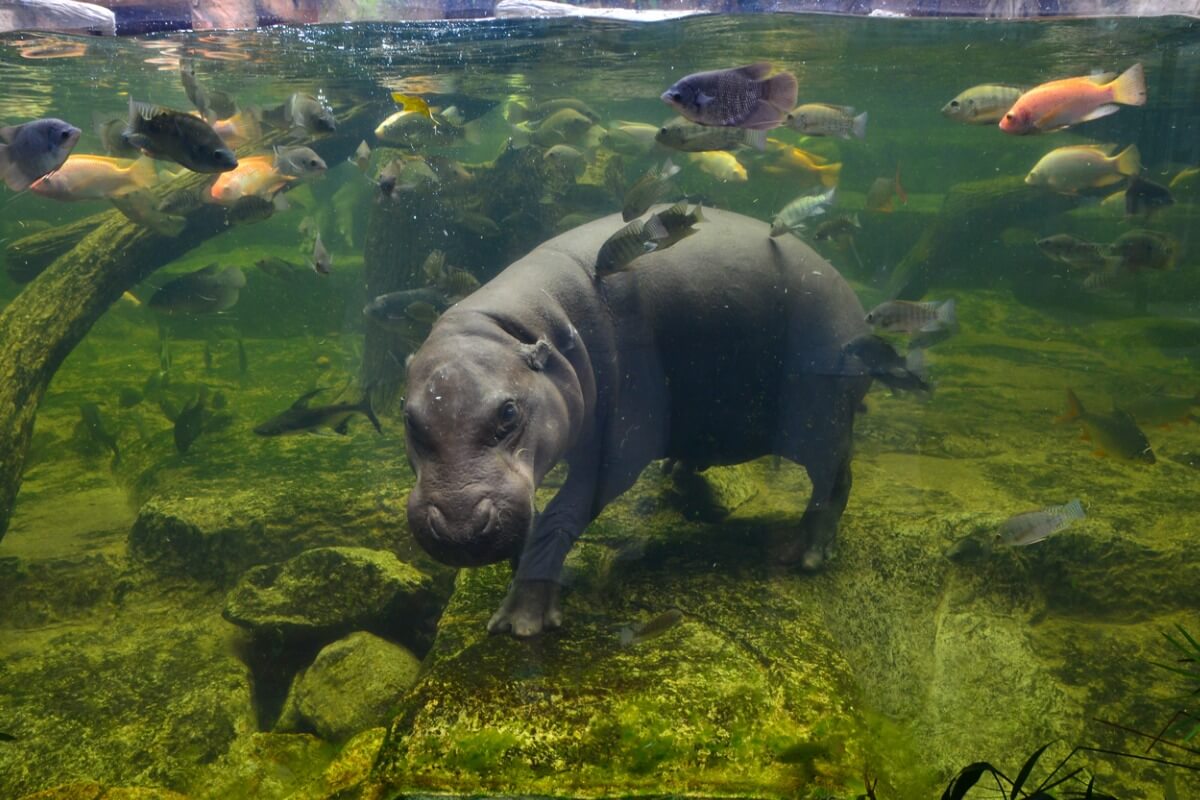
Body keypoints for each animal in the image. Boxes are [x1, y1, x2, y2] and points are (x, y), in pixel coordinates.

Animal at [403, 207, 902, 637]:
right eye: (409, 419)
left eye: (508, 412)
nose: (460, 527)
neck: (523, 327)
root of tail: (855, 305)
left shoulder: (621, 445)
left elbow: (562, 514)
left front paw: (520, 622)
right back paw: (680, 472)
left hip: (818, 415)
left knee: (835, 476)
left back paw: (803, 554)